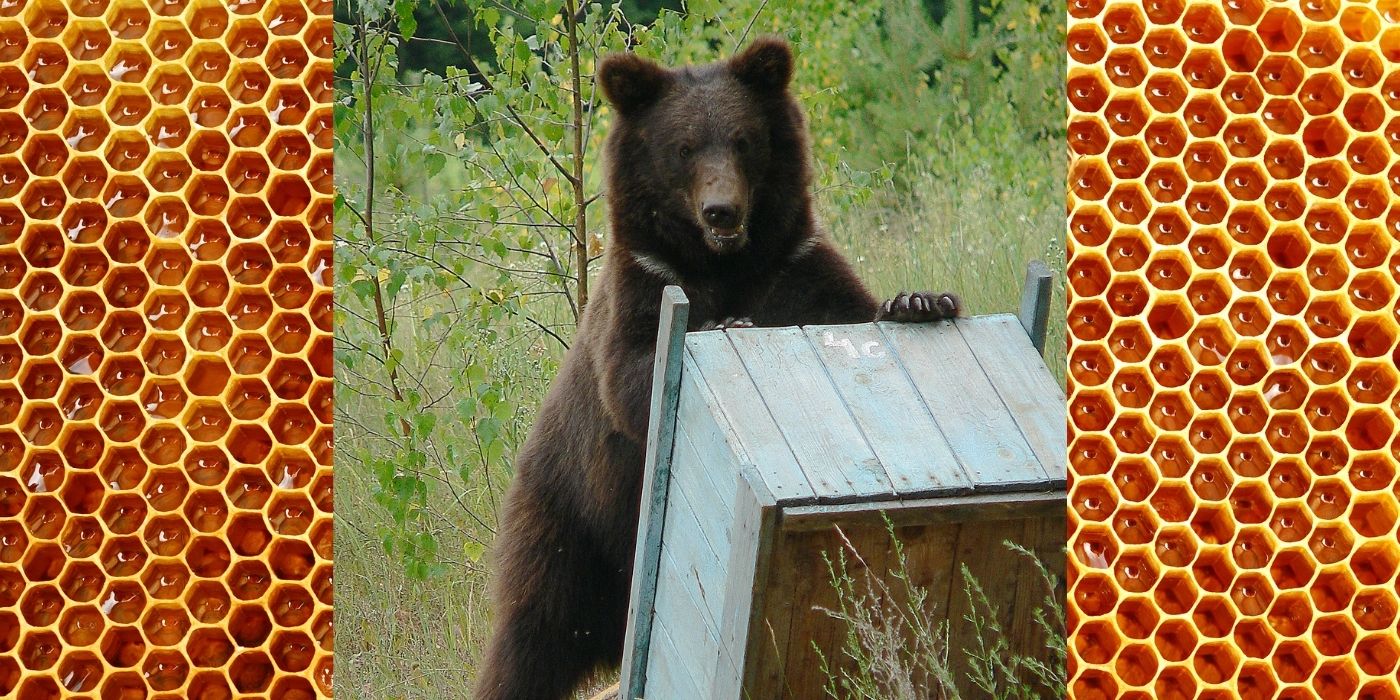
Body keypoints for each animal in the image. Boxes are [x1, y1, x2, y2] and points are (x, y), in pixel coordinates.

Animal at [476, 36, 957, 700]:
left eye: (743, 139)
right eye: (682, 147)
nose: (721, 211)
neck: (725, 267)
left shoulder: (794, 269)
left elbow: (852, 307)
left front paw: (919, 302)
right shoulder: (645, 285)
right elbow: (635, 373)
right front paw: (727, 326)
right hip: (568, 523)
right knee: (530, 638)